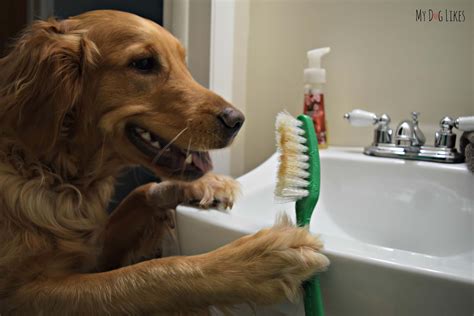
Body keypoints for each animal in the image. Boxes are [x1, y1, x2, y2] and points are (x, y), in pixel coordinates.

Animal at [0, 10, 330, 316]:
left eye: (182, 61)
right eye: (144, 63)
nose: (236, 120)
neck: (50, 170)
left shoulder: (95, 251)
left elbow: (143, 192)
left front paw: (205, 185)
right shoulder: (24, 295)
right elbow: (149, 273)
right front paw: (256, 262)